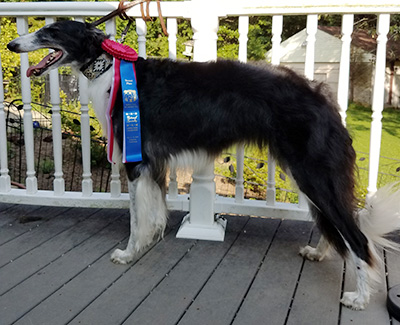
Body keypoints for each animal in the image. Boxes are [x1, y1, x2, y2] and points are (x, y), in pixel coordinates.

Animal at [7, 20, 400, 308]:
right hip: (307, 175)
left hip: (313, 173)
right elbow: (153, 212)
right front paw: (150, 241)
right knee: (334, 228)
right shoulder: (153, 164)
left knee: (356, 238)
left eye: (51, 32)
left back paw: (359, 297)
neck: (108, 71)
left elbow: (136, 218)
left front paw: (129, 253)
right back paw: (319, 253)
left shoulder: (137, 160)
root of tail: (324, 97)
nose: (12, 46)